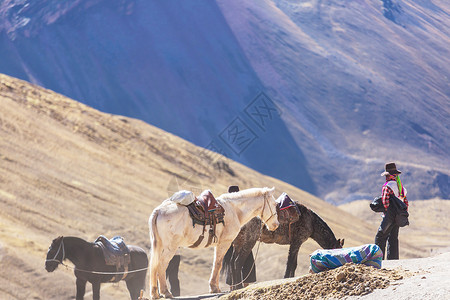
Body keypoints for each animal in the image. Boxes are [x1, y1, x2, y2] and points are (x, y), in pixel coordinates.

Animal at [149, 186, 280, 298]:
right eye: (274, 204)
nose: (276, 225)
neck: (235, 210)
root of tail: (158, 210)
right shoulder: (225, 242)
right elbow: (218, 263)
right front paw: (214, 288)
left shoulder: (223, 244)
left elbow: (217, 263)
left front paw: (215, 287)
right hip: (171, 247)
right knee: (161, 265)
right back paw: (166, 292)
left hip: (159, 245)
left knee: (154, 266)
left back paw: (155, 294)